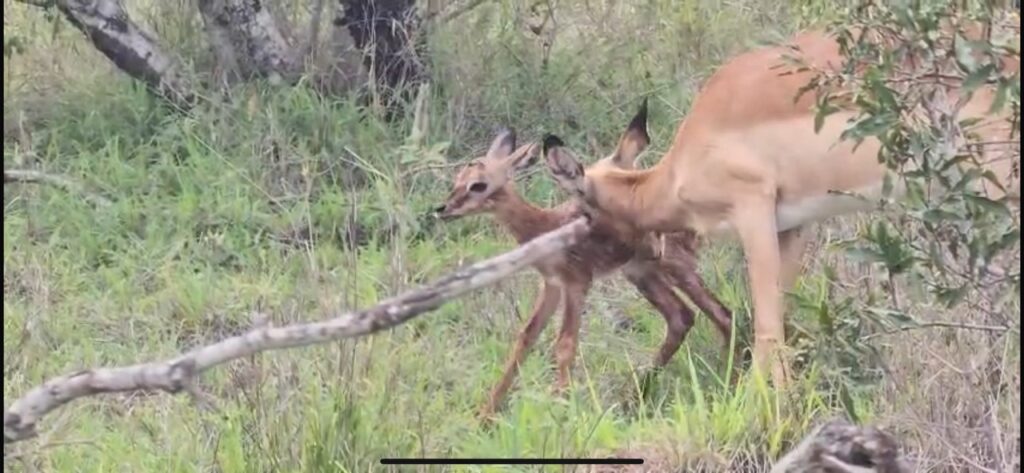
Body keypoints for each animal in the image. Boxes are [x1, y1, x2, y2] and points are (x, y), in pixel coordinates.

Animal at [433, 104, 734, 417]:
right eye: (457, 179)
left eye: (478, 185)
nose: (442, 209)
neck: (546, 225)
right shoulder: (552, 285)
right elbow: (526, 337)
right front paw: (485, 416)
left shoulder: (577, 283)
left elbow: (565, 344)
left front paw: (561, 411)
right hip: (641, 274)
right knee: (683, 317)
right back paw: (637, 396)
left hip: (670, 266)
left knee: (720, 313)